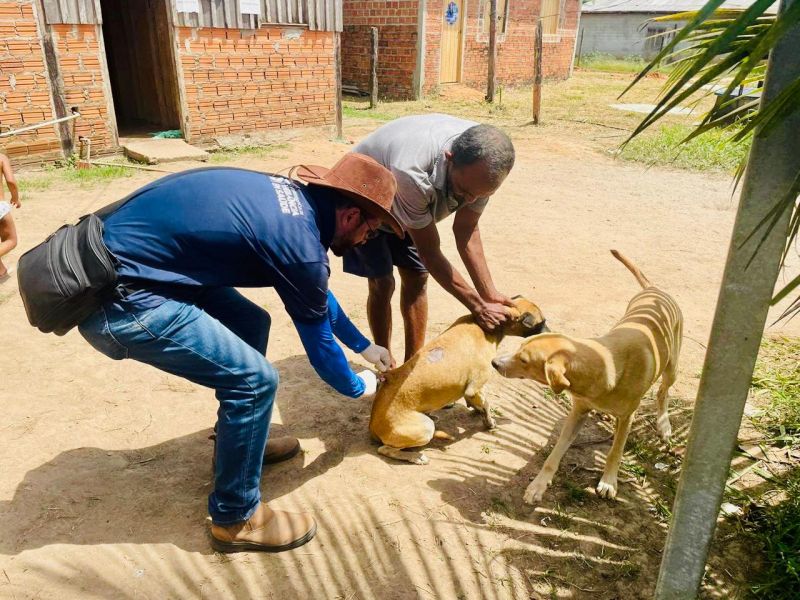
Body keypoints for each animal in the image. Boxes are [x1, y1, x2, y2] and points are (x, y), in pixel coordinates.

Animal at [370, 298, 552, 466]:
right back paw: (416, 457)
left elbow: (479, 401)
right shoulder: (475, 386)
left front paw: (477, 409)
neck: (485, 327)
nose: (551, 333)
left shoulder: (472, 388)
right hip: (425, 429)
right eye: (541, 322)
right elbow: (486, 404)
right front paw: (489, 422)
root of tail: (373, 425)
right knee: (385, 450)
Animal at [490, 251, 684, 504]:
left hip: (672, 368)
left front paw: (609, 482)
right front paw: (538, 485)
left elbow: (615, 451)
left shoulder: (628, 416)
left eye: (523, 360)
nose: (494, 363)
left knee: (663, 391)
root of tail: (655, 289)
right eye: (519, 347)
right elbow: (554, 453)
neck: (604, 366)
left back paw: (664, 425)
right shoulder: (578, 412)